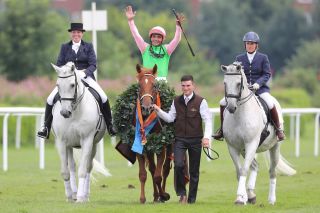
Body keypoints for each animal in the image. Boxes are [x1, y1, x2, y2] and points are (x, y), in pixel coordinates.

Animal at [52, 62, 107, 203]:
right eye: (58, 85)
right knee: (71, 166)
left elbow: (82, 170)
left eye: (72, 84)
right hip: (69, 146)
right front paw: (69, 196)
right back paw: (74, 193)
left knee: (88, 167)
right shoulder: (61, 142)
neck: (75, 111)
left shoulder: (87, 140)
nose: (65, 113)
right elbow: (65, 171)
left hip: (93, 145)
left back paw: (84, 194)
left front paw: (81, 198)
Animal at [221, 62, 296, 206]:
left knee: (272, 171)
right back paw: (250, 195)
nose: (231, 108)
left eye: (238, 83)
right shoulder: (233, 147)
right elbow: (239, 171)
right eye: (225, 83)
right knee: (255, 166)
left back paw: (271, 200)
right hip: (245, 150)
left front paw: (240, 198)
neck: (239, 116)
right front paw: (242, 197)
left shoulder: (251, 143)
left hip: (274, 147)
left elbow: (244, 169)